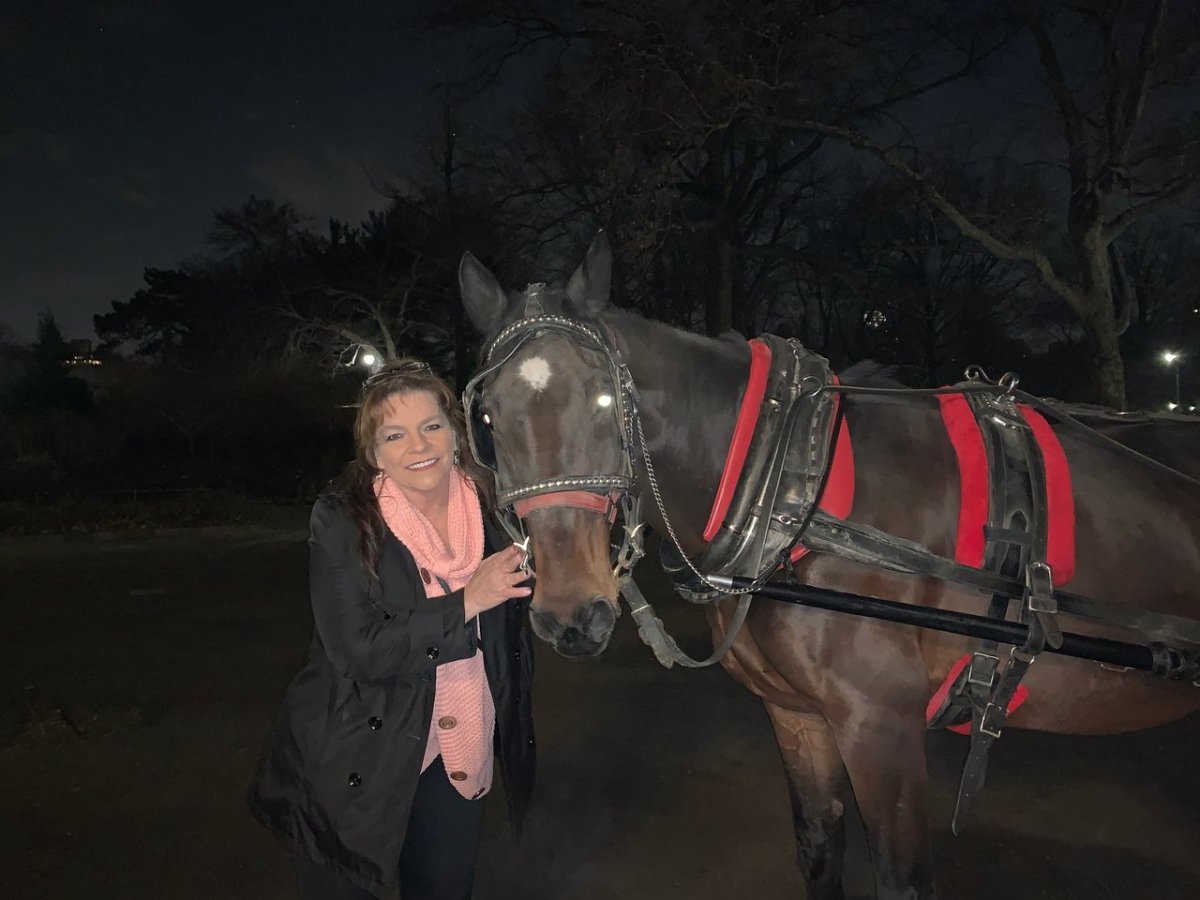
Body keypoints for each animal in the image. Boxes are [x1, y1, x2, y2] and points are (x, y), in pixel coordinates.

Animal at [457, 233, 1200, 900]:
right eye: (488, 417)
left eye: (606, 400)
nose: (569, 615)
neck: (790, 493)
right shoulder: (797, 716)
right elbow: (818, 849)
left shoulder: (881, 726)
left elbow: (902, 879)